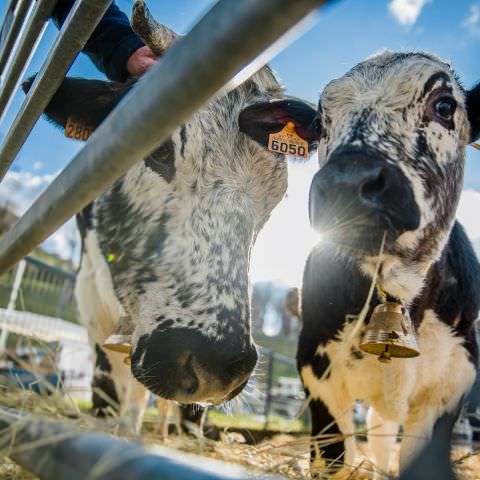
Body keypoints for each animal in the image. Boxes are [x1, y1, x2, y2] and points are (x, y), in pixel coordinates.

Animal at [294, 50, 480, 478]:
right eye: (319, 123)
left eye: (445, 105)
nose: (346, 184)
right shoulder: (314, 364)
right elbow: (334, 459)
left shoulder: (454, 384)